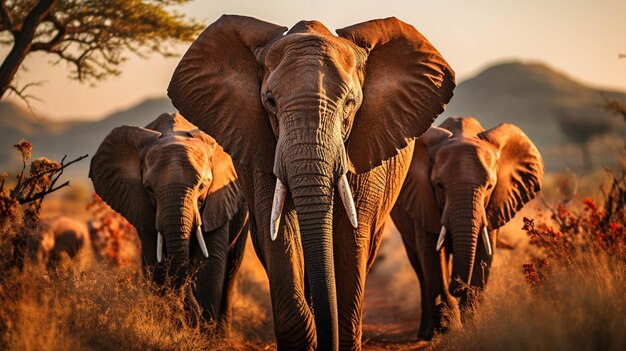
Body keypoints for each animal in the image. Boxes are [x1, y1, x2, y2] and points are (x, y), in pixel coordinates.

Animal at [88, 113, 249, 332]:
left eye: (203, 186)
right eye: (149, 188)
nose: (192, 315)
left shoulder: (218, 200)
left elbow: (211, 263)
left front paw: (203, 334)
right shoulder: (143, 208)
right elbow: (155, 264)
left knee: (231, 271)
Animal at [390, 117, 540, 340]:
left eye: (489, 186)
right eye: (439, 185)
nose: (457, 288)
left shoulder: (492, 207)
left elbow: (484, 255)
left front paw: (471, 327)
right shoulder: (422, 199)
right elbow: (432, 256)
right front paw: (449, 330)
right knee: (419, 266)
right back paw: (426, 334)